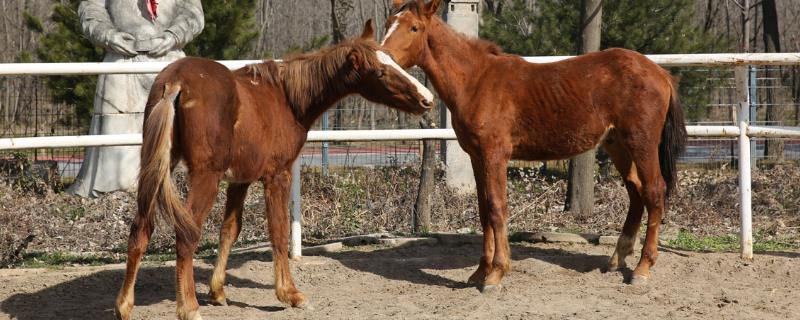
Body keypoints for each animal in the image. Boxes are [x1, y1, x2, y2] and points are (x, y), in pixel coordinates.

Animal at [114, 21, 432, 320]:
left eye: (393, 60)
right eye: (379, 72)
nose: (426, 99)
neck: (286, 98)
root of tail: (175, 82)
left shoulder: (239, 181)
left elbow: (230, 230)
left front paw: (218, 291)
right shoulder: (277, 176)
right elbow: (279, 232)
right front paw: (290, 294)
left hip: (156, 172)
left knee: (141, 229)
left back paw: (124, 306)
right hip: (205, 178)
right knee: (186, 234)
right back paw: (189, 307)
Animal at [382, 0, 688, 290]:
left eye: (414, 28)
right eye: (387, 23)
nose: (384, 63)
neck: (475, 81)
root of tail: (661, 73)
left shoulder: (495, 155)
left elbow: (496, 208)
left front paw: (496, 274)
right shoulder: (476, 156)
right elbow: (483, 210)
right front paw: (480, 272)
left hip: (642, 143)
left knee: (654, 192)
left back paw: (642, 269)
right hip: (618, 145)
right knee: (636, 192)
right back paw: (617, 259)